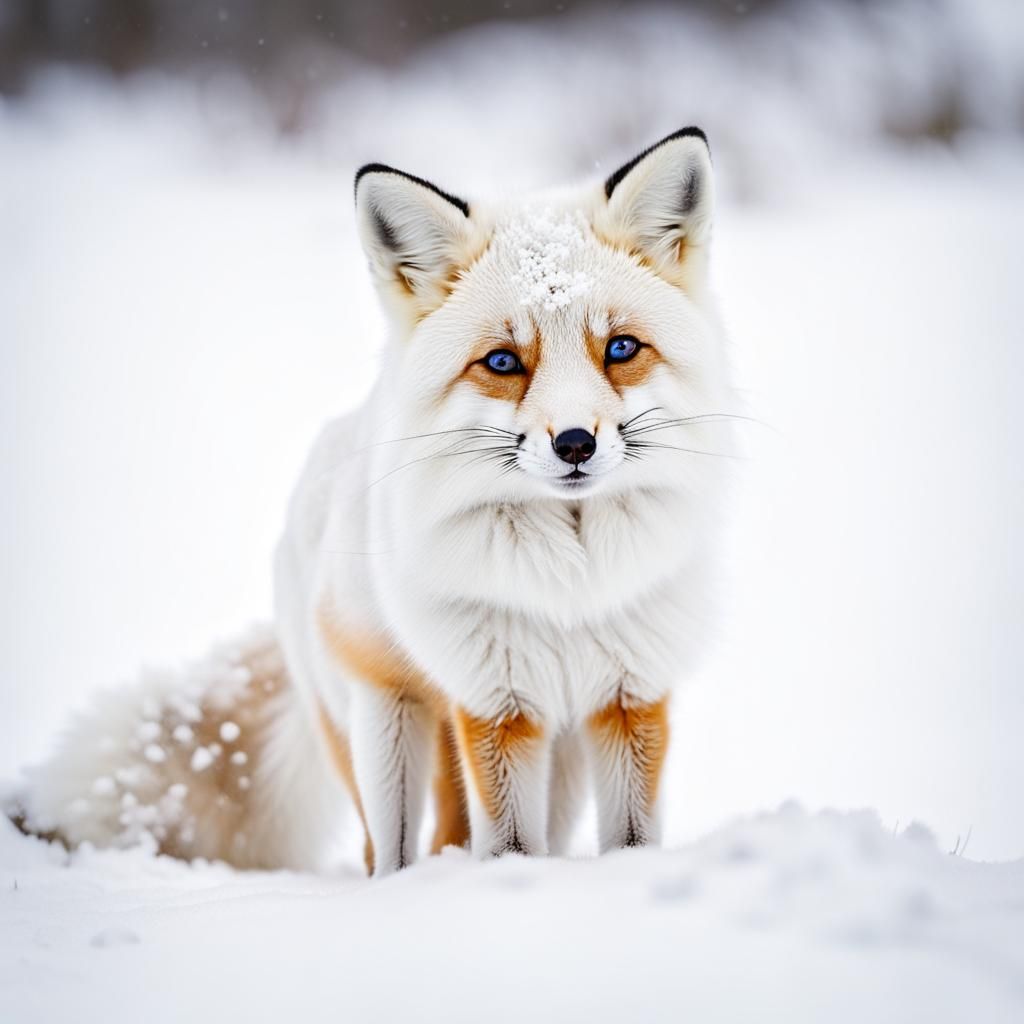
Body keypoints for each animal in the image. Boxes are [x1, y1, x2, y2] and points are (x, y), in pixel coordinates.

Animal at [10, 127, 735, 875]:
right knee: (392, 847)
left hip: (546, 754)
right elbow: (505, 845)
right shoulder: (492, 701)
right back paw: (404, 885)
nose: (574, 443)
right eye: (503, 362)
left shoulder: (631, 694)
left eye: (620, 349)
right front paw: (505, 885)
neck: (571, 582)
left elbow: (630, 841)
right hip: (384, 724)